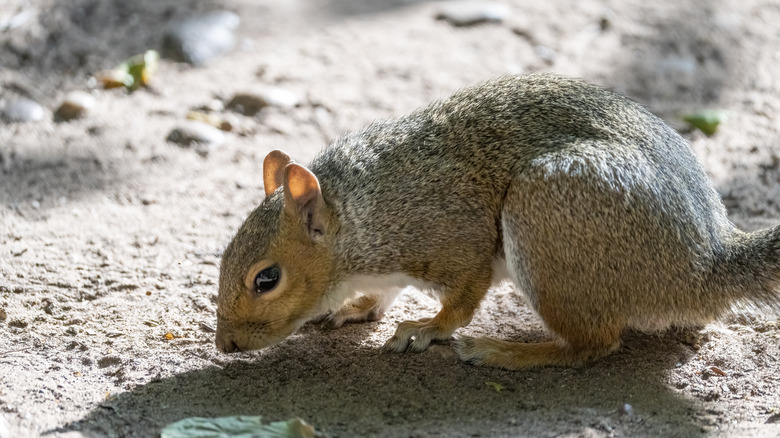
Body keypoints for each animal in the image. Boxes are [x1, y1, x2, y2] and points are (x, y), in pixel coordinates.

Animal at [213, 73, 780, 368]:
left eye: (266, 279)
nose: (225, 345)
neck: (361, 215)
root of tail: (705, 265)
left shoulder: (456, 241)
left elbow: (463, 298)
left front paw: (425, 328)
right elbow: (379, 294)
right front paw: (355, 307)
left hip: (545, 217)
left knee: (591, 345)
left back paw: (504, 351)